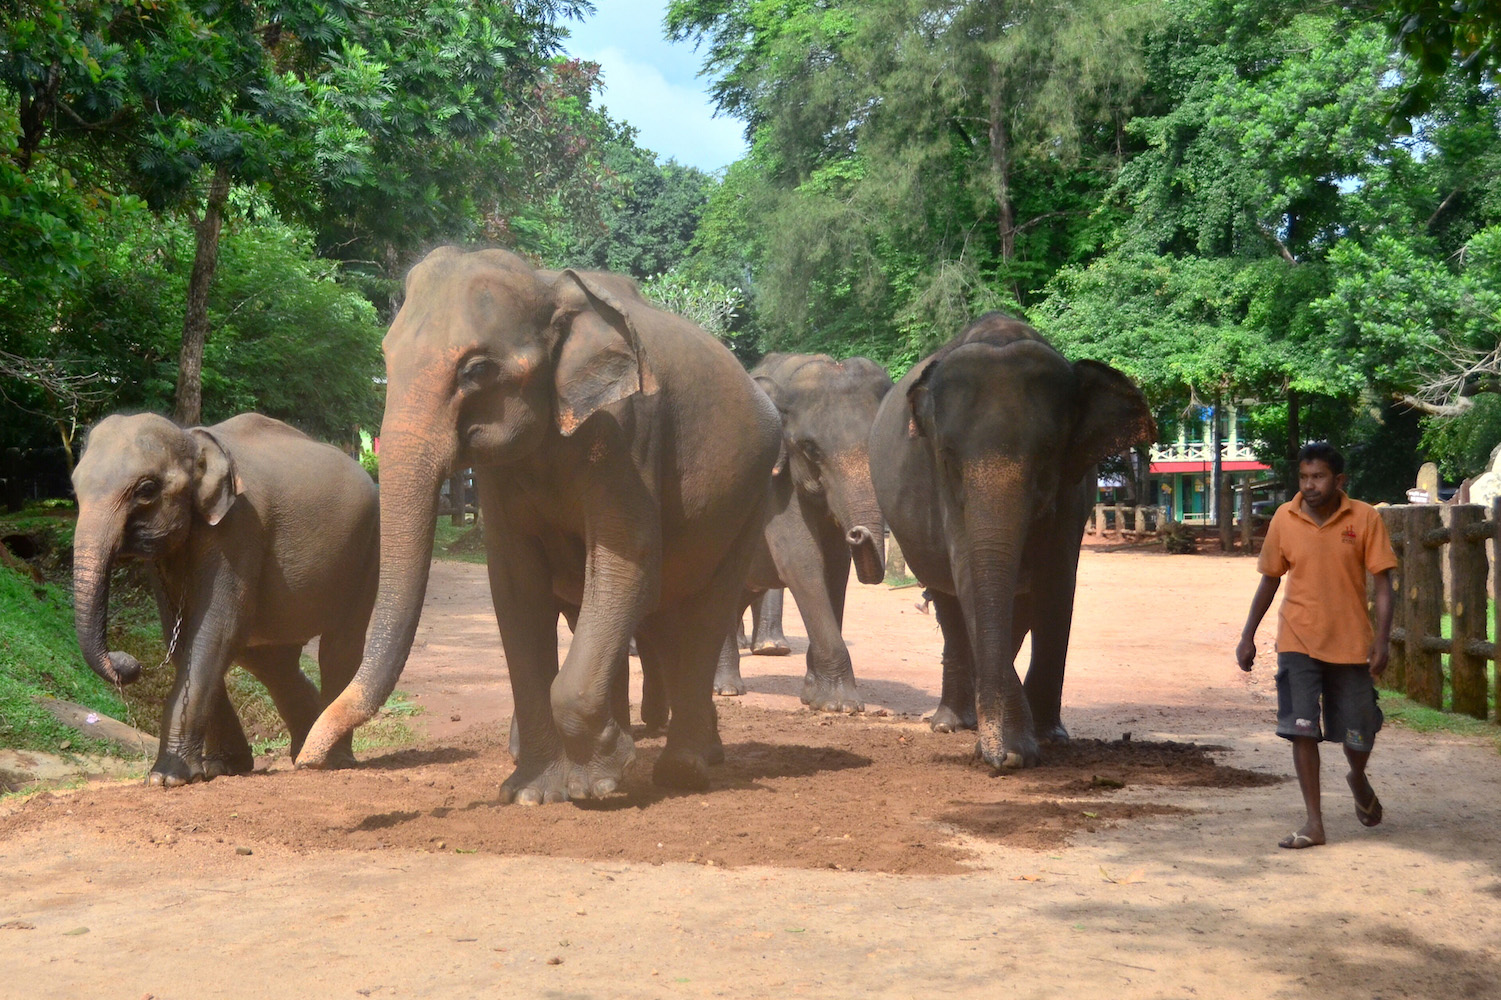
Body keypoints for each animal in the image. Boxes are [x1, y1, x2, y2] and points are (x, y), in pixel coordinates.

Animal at [70, 408, 381, 780]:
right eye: (74, 487)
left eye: (146, 490)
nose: (127, 663)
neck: (191, 437)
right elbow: (181, 634)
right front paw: (221, 768)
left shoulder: (240, 526)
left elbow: (216, 628)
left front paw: (168, 777)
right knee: (274, 663)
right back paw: (305, 749)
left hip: (368, 547)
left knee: (339, 646)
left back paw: (331, 759)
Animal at [295, 247, 786, 804]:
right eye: (385, 357)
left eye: (478, 369)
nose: (306, 760)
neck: (550, 286)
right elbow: (516, 585)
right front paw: (532, 792)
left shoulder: (625, 437)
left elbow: (627, 566)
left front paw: (598, 782)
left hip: (752, 494)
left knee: (706, 610)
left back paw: (684, 771)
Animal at [699, 349, 894, 708]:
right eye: (811, 449)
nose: (857, 533)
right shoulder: (774, 484)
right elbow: (802, 562)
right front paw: (840, 705)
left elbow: (835, 570)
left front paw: (814, 694)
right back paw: (724, 689)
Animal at [864, 315, 1152, 765]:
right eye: (947, 456)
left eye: (1048, 453)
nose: (1000, 760)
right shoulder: (942, 489)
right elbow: (967, 570)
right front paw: (1012, 749)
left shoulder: (1073, 489)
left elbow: (1056, 584)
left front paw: (1044, 740)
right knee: (948, 603)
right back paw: (950, 723)